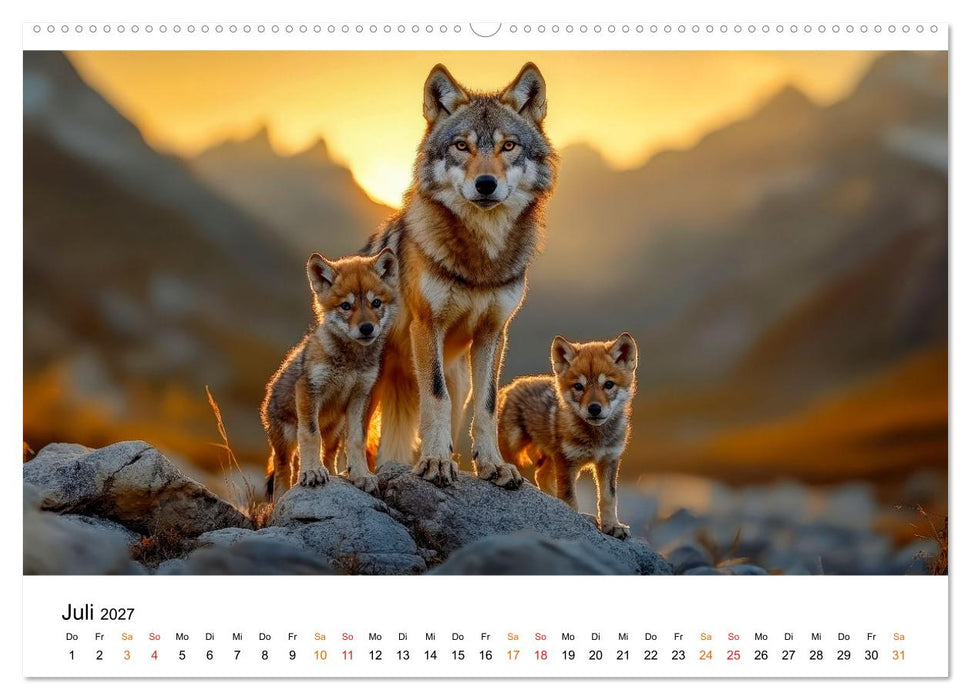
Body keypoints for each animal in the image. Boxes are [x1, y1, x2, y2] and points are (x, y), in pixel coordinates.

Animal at [262, 249, 398, 501]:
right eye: (346, 306)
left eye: (376, 303)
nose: (367, 328)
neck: (350, 362)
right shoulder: (308, 390)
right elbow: (310, 436)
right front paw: (312, 472)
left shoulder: (361, 396)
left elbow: (356, 441)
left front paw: (362, 475)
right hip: (286, 439)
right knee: (284, 471)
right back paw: (282, 498)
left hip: (334, 431)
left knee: (329, 456)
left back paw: (335, 475)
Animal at [359, 63, 557, 488]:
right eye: (462, 146)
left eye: (508, 146)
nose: (486, 184)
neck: (480, 261)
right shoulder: (426, 324)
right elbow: (435, 398)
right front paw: (434, 463)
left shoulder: (493, 333)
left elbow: (487, 406)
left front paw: (493, 465)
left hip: (457, 378)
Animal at [496, 334, 638, 539]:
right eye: (578, 386)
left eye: (608, 385)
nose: (594, 408)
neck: (595, 438)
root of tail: (510, 386)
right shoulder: (567, 460)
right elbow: (569, 497)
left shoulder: (609, 460)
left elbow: (608, 498)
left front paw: (612, 525)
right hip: (514, 449)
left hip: (550, 457)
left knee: (541, 476)